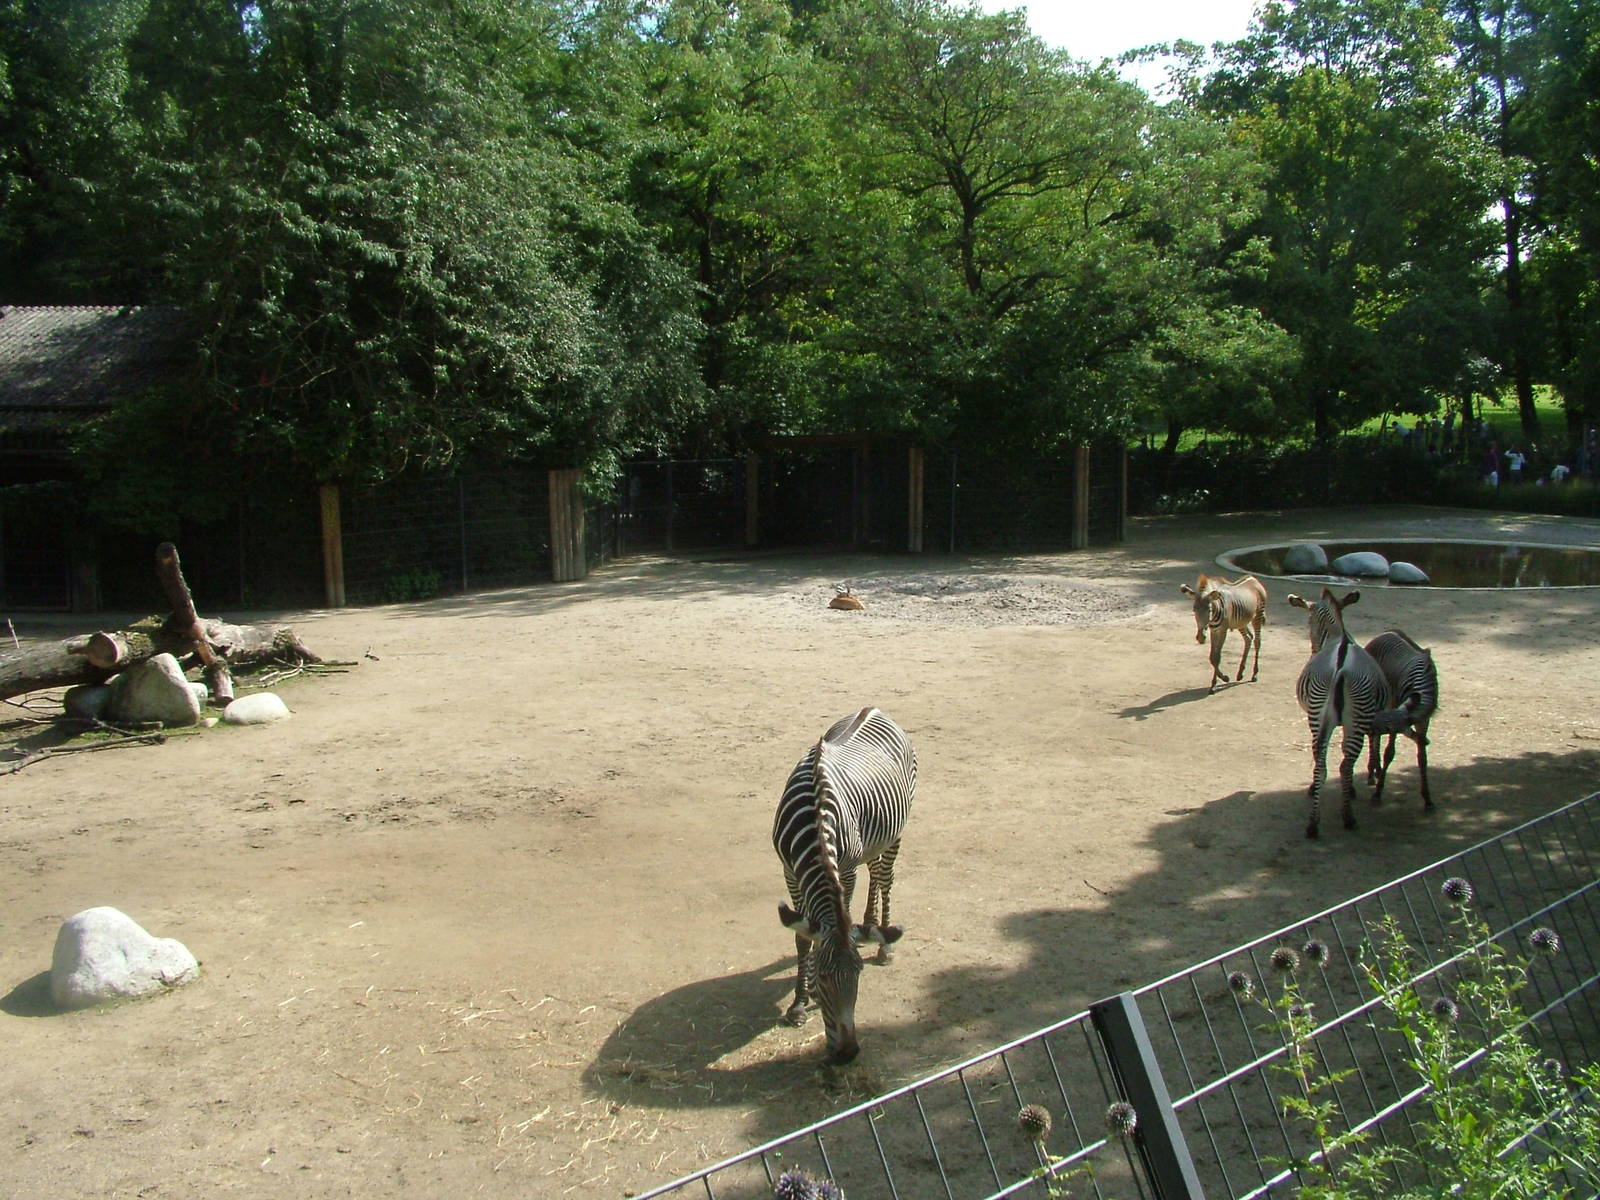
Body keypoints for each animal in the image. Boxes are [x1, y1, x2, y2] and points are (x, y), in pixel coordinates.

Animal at [772, 707, 916, 1063]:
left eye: (858, 975)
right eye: (825, 976)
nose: (848, 1053)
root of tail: (875, 708)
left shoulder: (845, 871)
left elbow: (840, 912)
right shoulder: (790, 872)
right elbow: (803, 938)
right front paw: (799, 1003)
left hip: (896, 832)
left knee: (885, 879)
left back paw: (884, 944)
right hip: (873, 840)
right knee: (875, 873)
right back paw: (868, 924)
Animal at [1287, 589, 1393, 838]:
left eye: (1308, 621)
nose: (1313, 650)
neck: (1338, 636)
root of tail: (1340, 666)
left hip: (1320, 716)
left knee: (1322, 762)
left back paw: (1313, 823)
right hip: (1353, 719)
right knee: (1343, 764)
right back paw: (1347, 816)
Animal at [1364, 630, 1439, 811]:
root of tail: (1385, 633)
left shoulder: (1423, 720)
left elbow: (1422, 758)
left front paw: (1428, 799)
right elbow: (1389, 753)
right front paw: (1377, 794)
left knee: (1375, 740)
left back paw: (1376, 770)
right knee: (1374, 741)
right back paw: (1372, 772)